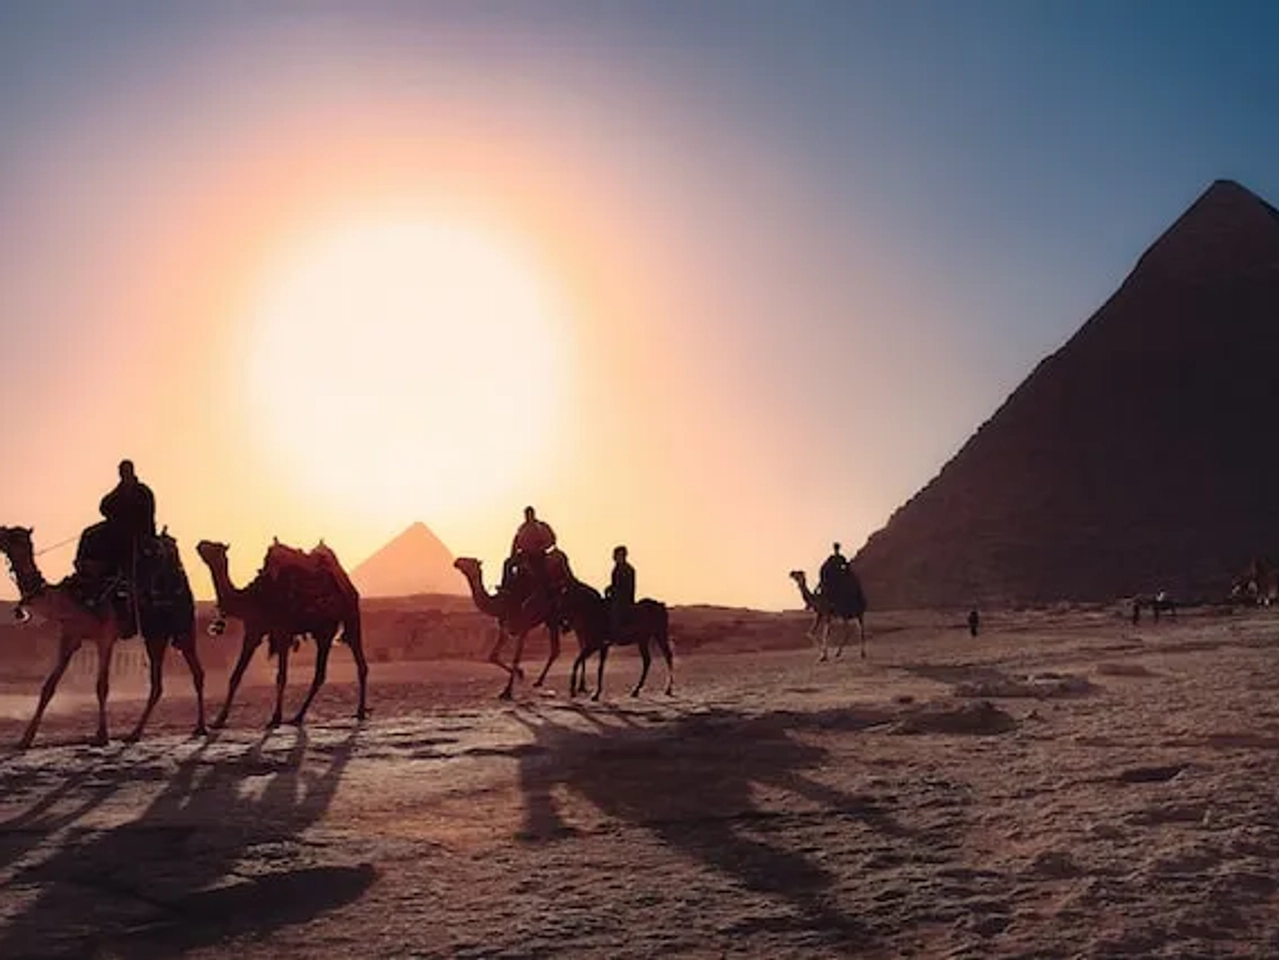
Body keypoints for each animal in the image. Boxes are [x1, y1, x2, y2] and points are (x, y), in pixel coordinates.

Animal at [0, 525, 206, 748]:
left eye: (20, 539)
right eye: (9, 535)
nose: (2, 534)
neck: (75, 600)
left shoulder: (105, 637)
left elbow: (102, 686)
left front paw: (101, 736)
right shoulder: (70, 637)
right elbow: (48, 686)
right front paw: (26, 738)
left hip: (182, 628)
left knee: (197, 673)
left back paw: (200, 728)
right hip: (155, 636)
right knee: (158, 684)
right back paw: (135, 733)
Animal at [195, 539, 368, 729]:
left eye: (214, 547)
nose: (200, 544)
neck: (251, 598)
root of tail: (346, 583)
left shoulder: (282, 632)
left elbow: (281, 676)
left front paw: (275, 718)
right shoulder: (254, 631)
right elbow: (236, 676)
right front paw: (219, 720)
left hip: (350, 617)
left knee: (358, 664)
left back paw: (359, 711)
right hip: (325, 631)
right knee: (320, 675)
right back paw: (298, 717)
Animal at [453, 553, 576, 699]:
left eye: (470, 560)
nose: (456, 561)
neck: (500, 604)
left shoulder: (523, 627)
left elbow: (516, 658)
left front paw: (507, 691)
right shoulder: (505, 628)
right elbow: (493, 656)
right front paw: (520, 673)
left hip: (553, 617)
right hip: (550, 619)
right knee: (555, 650)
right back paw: (539, 682)